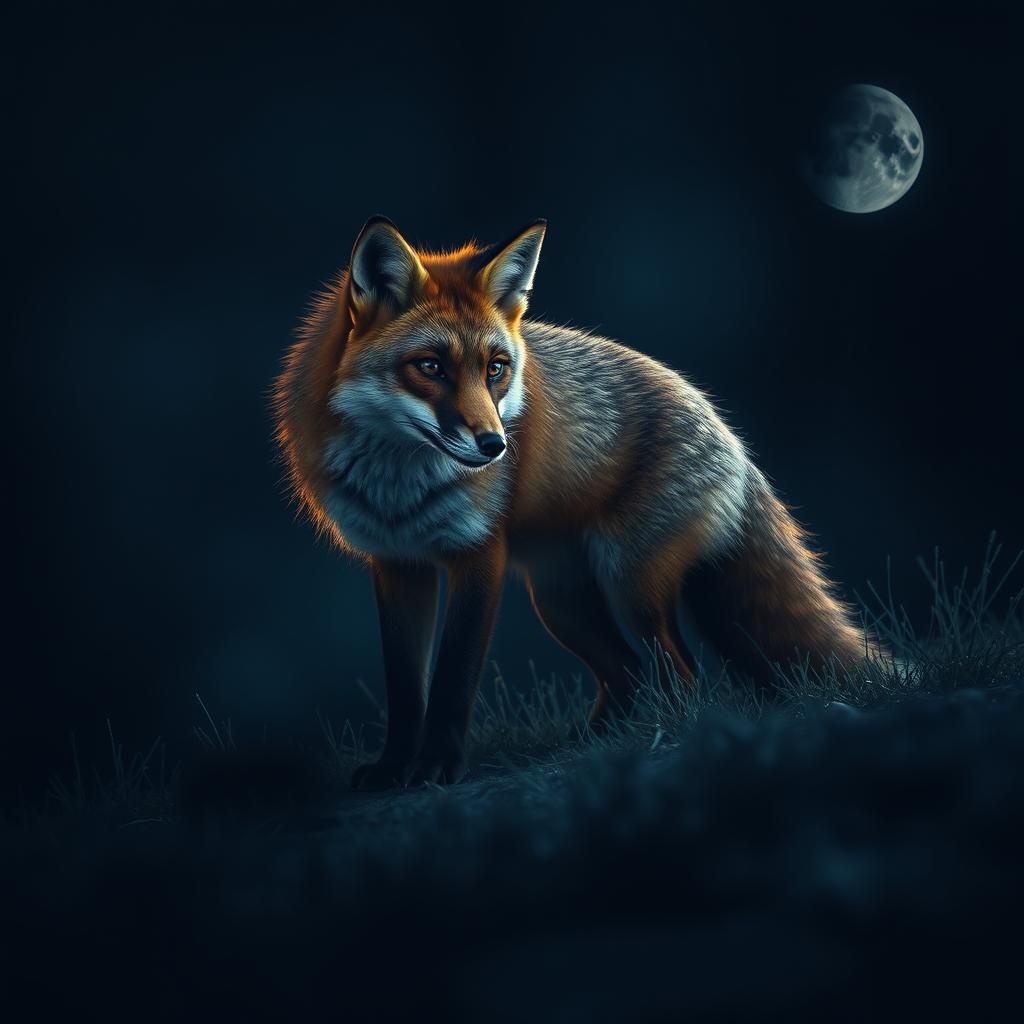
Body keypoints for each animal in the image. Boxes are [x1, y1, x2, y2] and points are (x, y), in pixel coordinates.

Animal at [274, 215, 874, 790]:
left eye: (495, 368)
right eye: (430, 366)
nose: (495, 446)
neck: (397, 488)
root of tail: (729, 433)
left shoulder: (478, 557)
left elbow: (452, 680)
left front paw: (436, 767)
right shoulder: (398, 564)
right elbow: (404, 689)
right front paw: (394, 768)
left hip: (631, 585)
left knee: (679, 674)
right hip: (561, 604)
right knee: (629, 672)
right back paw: (596, 741)